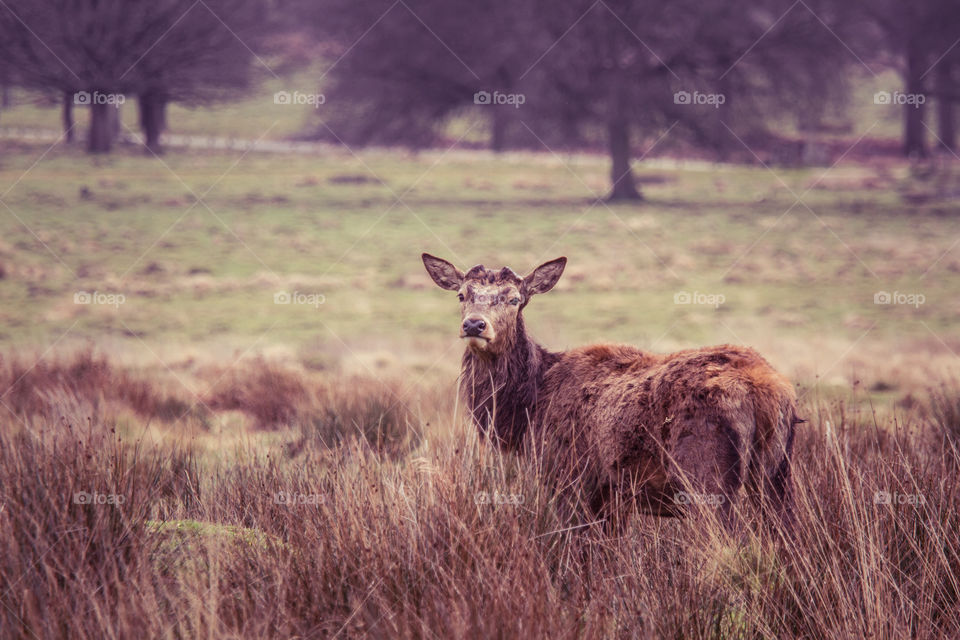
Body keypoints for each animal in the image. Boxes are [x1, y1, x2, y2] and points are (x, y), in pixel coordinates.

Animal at [424, 254, 800, 528]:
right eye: (462, 294)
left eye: (515, 299)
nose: (474, 324)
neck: (528, 410)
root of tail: (766, 390)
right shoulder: (612, 496)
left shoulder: (569, 479)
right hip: (778, 477)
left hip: (706, 475)